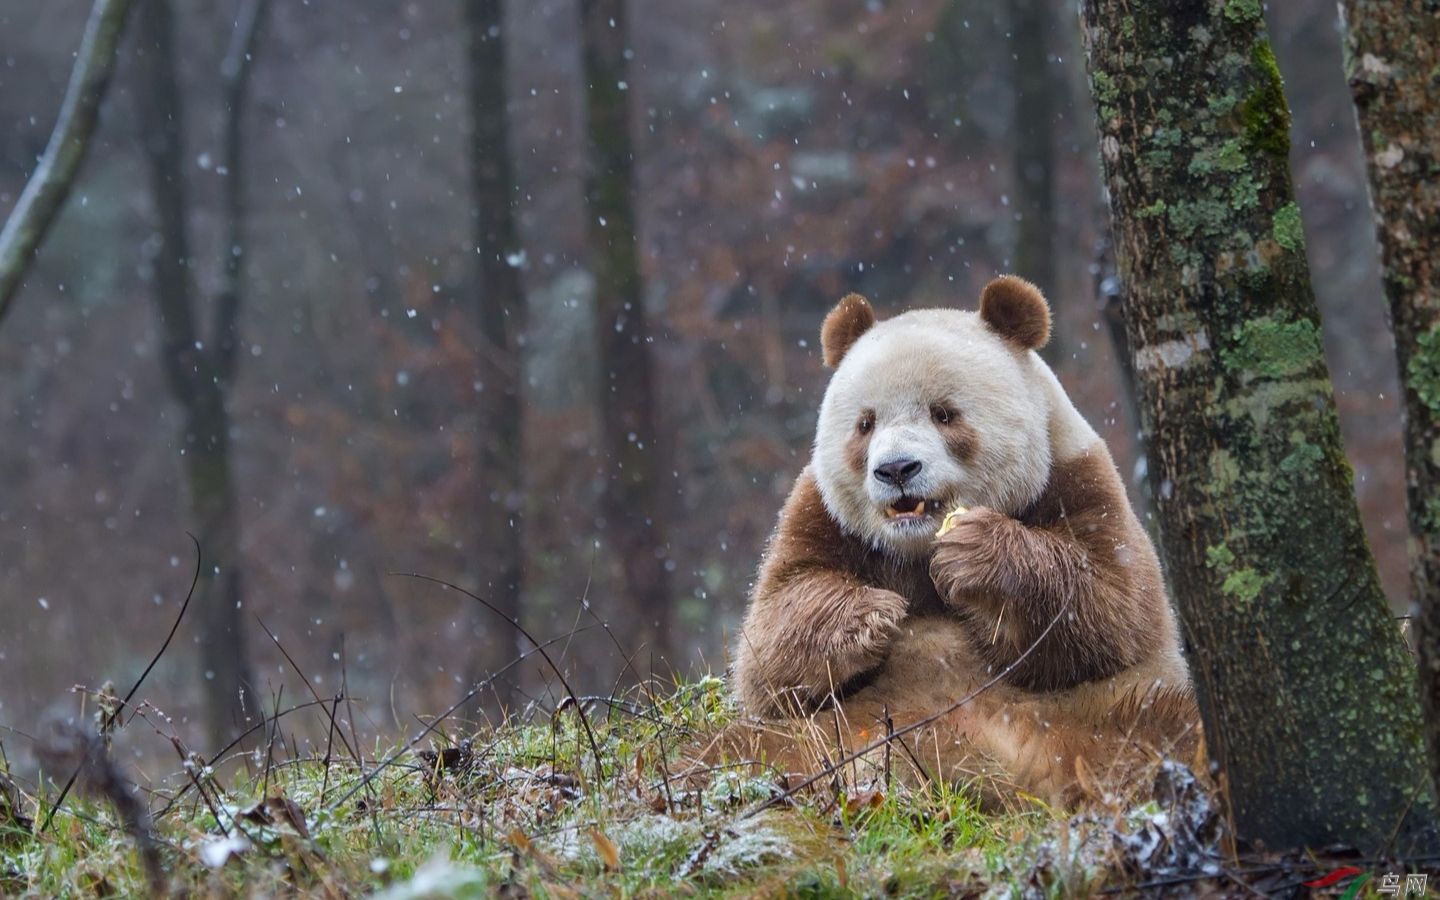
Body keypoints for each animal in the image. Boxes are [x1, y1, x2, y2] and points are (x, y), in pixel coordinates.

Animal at [725, 277, 1198, 806]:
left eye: (944, 414)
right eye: (865, 424)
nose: (896, 469)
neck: (917, 548)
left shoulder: (1077, 479)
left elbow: (1110, 608)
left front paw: (976, 554)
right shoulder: (821, 515)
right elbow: (771, 643)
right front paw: (871, 616)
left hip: (1100, 715)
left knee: (1164, 728)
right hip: (823, 734)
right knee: (733, 749)